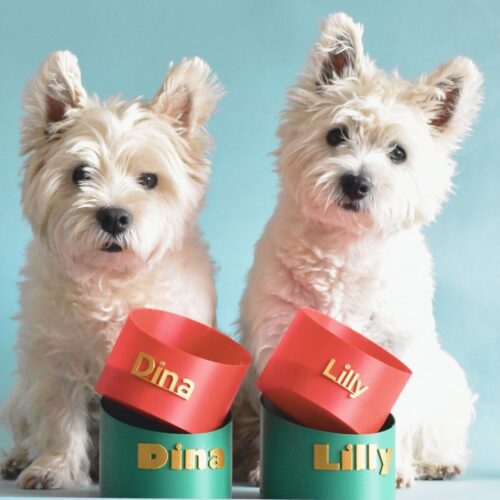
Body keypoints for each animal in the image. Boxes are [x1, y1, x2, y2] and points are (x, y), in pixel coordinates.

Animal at [0, 50, 223, 488]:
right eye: (80, 174)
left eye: (149, 179)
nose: (114, 217)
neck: (111, 280)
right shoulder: (58, 361)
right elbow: (60, 421)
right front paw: (54, 469)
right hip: (20, 393)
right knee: (27, 427)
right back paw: (18, 459)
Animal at [236, 12, 482, 488]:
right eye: (337, 135)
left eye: (398, 153)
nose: (356, 182)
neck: (343, 248)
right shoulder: (279, 330)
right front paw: (265, 469)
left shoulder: (394, 346)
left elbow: (395, 410)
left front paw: (393, 469)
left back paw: (437, 463)